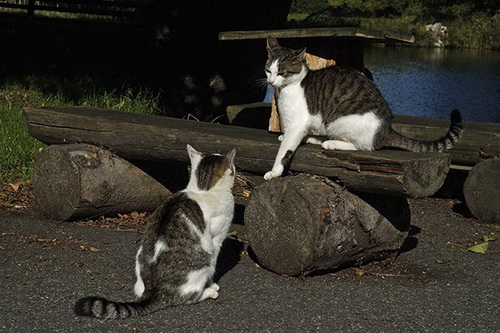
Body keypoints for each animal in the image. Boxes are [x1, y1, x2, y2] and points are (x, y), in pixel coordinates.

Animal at [73, 145, 237, 320]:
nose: (236, 169)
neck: (203, 189)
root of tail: (154, 291)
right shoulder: (217, 240)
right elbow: (214, 265)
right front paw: (212, 284)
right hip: (202, 262)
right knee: (189, 297)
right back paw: (208, 292)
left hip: (140, 258)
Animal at [264, 36, 462, 180]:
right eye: (268, 71)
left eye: (281, 73)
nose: (270, 81)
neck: (289, 86)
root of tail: (386, 129)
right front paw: (284, 137)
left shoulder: (297, 124)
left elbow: (284, 151)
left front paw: (274, 172)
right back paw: (313, 138)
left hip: (339, 121)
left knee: (363, 146)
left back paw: (331, 143)